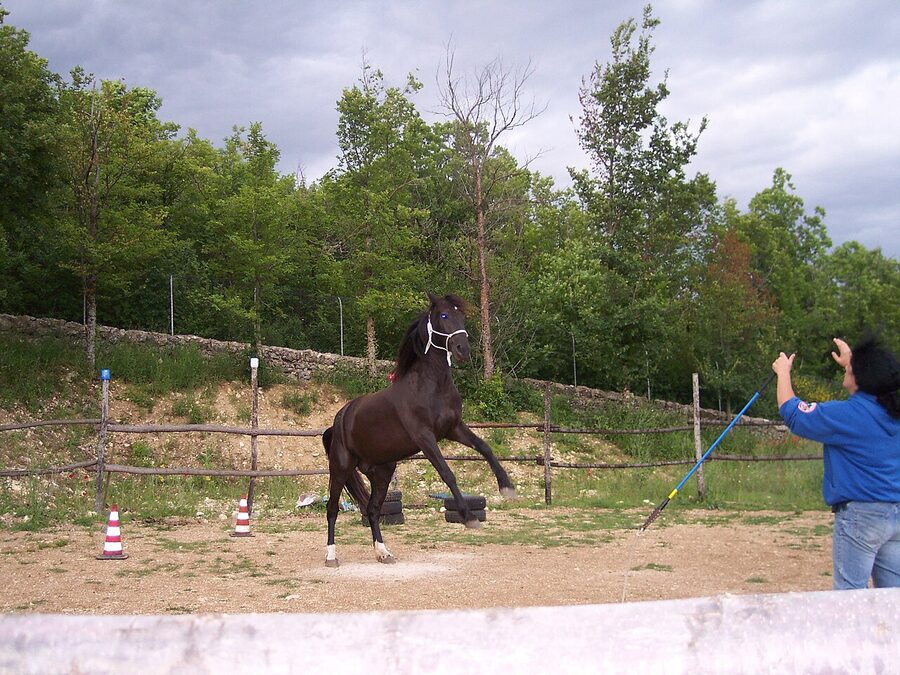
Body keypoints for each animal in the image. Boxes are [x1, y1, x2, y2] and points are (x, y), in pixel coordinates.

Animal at [320, 292, 517, 567]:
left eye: (461, 315)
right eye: (443, 315)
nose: (462, 350)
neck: (431, 386)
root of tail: (339, 419)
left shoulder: (454, 429)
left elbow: (485, 448)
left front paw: (506, 487)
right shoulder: (425, 438)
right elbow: (447, 473)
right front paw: (469, 517)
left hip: (382, 473)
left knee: (372, 510)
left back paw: (384, 553)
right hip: (340, 469)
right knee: (332, 509)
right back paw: (331, 556)